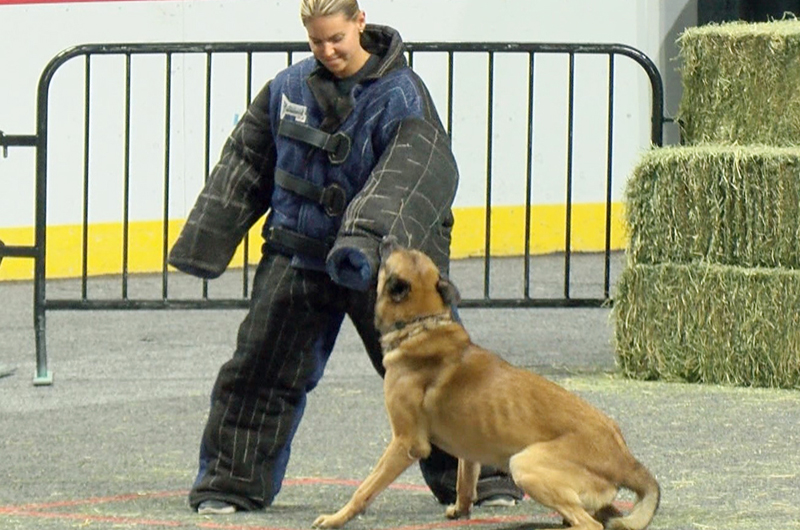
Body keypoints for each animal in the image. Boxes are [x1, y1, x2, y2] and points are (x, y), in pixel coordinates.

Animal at [314, 239, 664, 528]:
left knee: (589, 524)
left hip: (524, 464)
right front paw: (460, 510)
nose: (386, 238)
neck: (422, 322)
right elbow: (464, 482)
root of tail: (624, 458)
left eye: (390, 256)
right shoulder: (469, 449)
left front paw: (337, 518)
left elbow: (365, 489)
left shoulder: (406, 443)